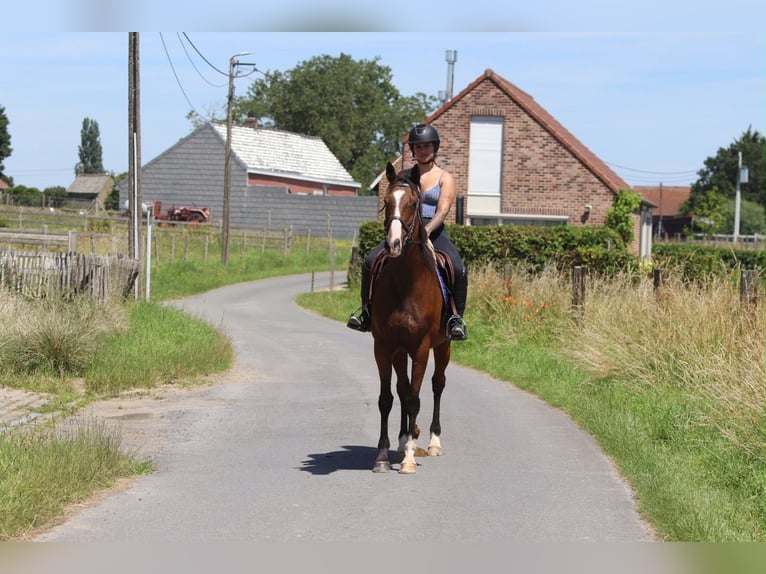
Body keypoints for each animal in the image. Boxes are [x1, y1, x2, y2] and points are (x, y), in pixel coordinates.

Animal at [370, 162, 451, 474]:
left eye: (414, 203)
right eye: (386, 201)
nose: (393, 244)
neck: (405, 282)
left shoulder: (422, 347)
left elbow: (415, 398)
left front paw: (408, 460)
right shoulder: (384, 346)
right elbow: (387, 399)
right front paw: (383, 455)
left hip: (443, 346)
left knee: (437, 384)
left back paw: (432, 442)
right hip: (399, 351)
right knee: (402, 389)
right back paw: (406, 438)